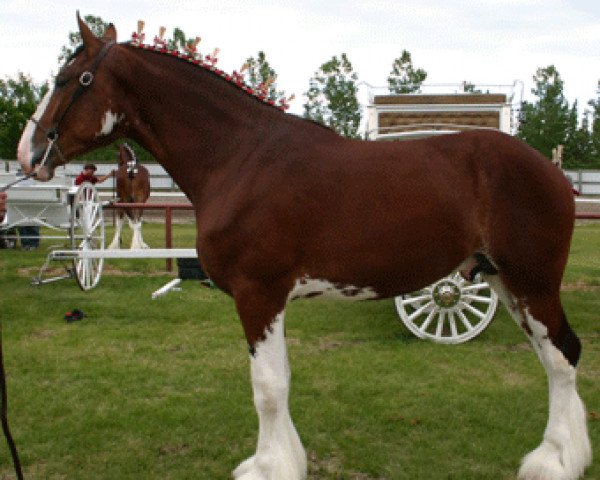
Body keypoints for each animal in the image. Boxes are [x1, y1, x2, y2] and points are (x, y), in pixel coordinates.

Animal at [14, 14, 592, 480]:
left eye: (67, 79)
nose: (27, 152)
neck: (240, 158)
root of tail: (551, 171)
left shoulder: (258, 294)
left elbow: (268, 388)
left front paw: (269, 467)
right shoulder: (271, 300)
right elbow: (282, 381)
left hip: (532, 280)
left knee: (563, 357)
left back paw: (553, 462)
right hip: (504, 280)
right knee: (551, 359)